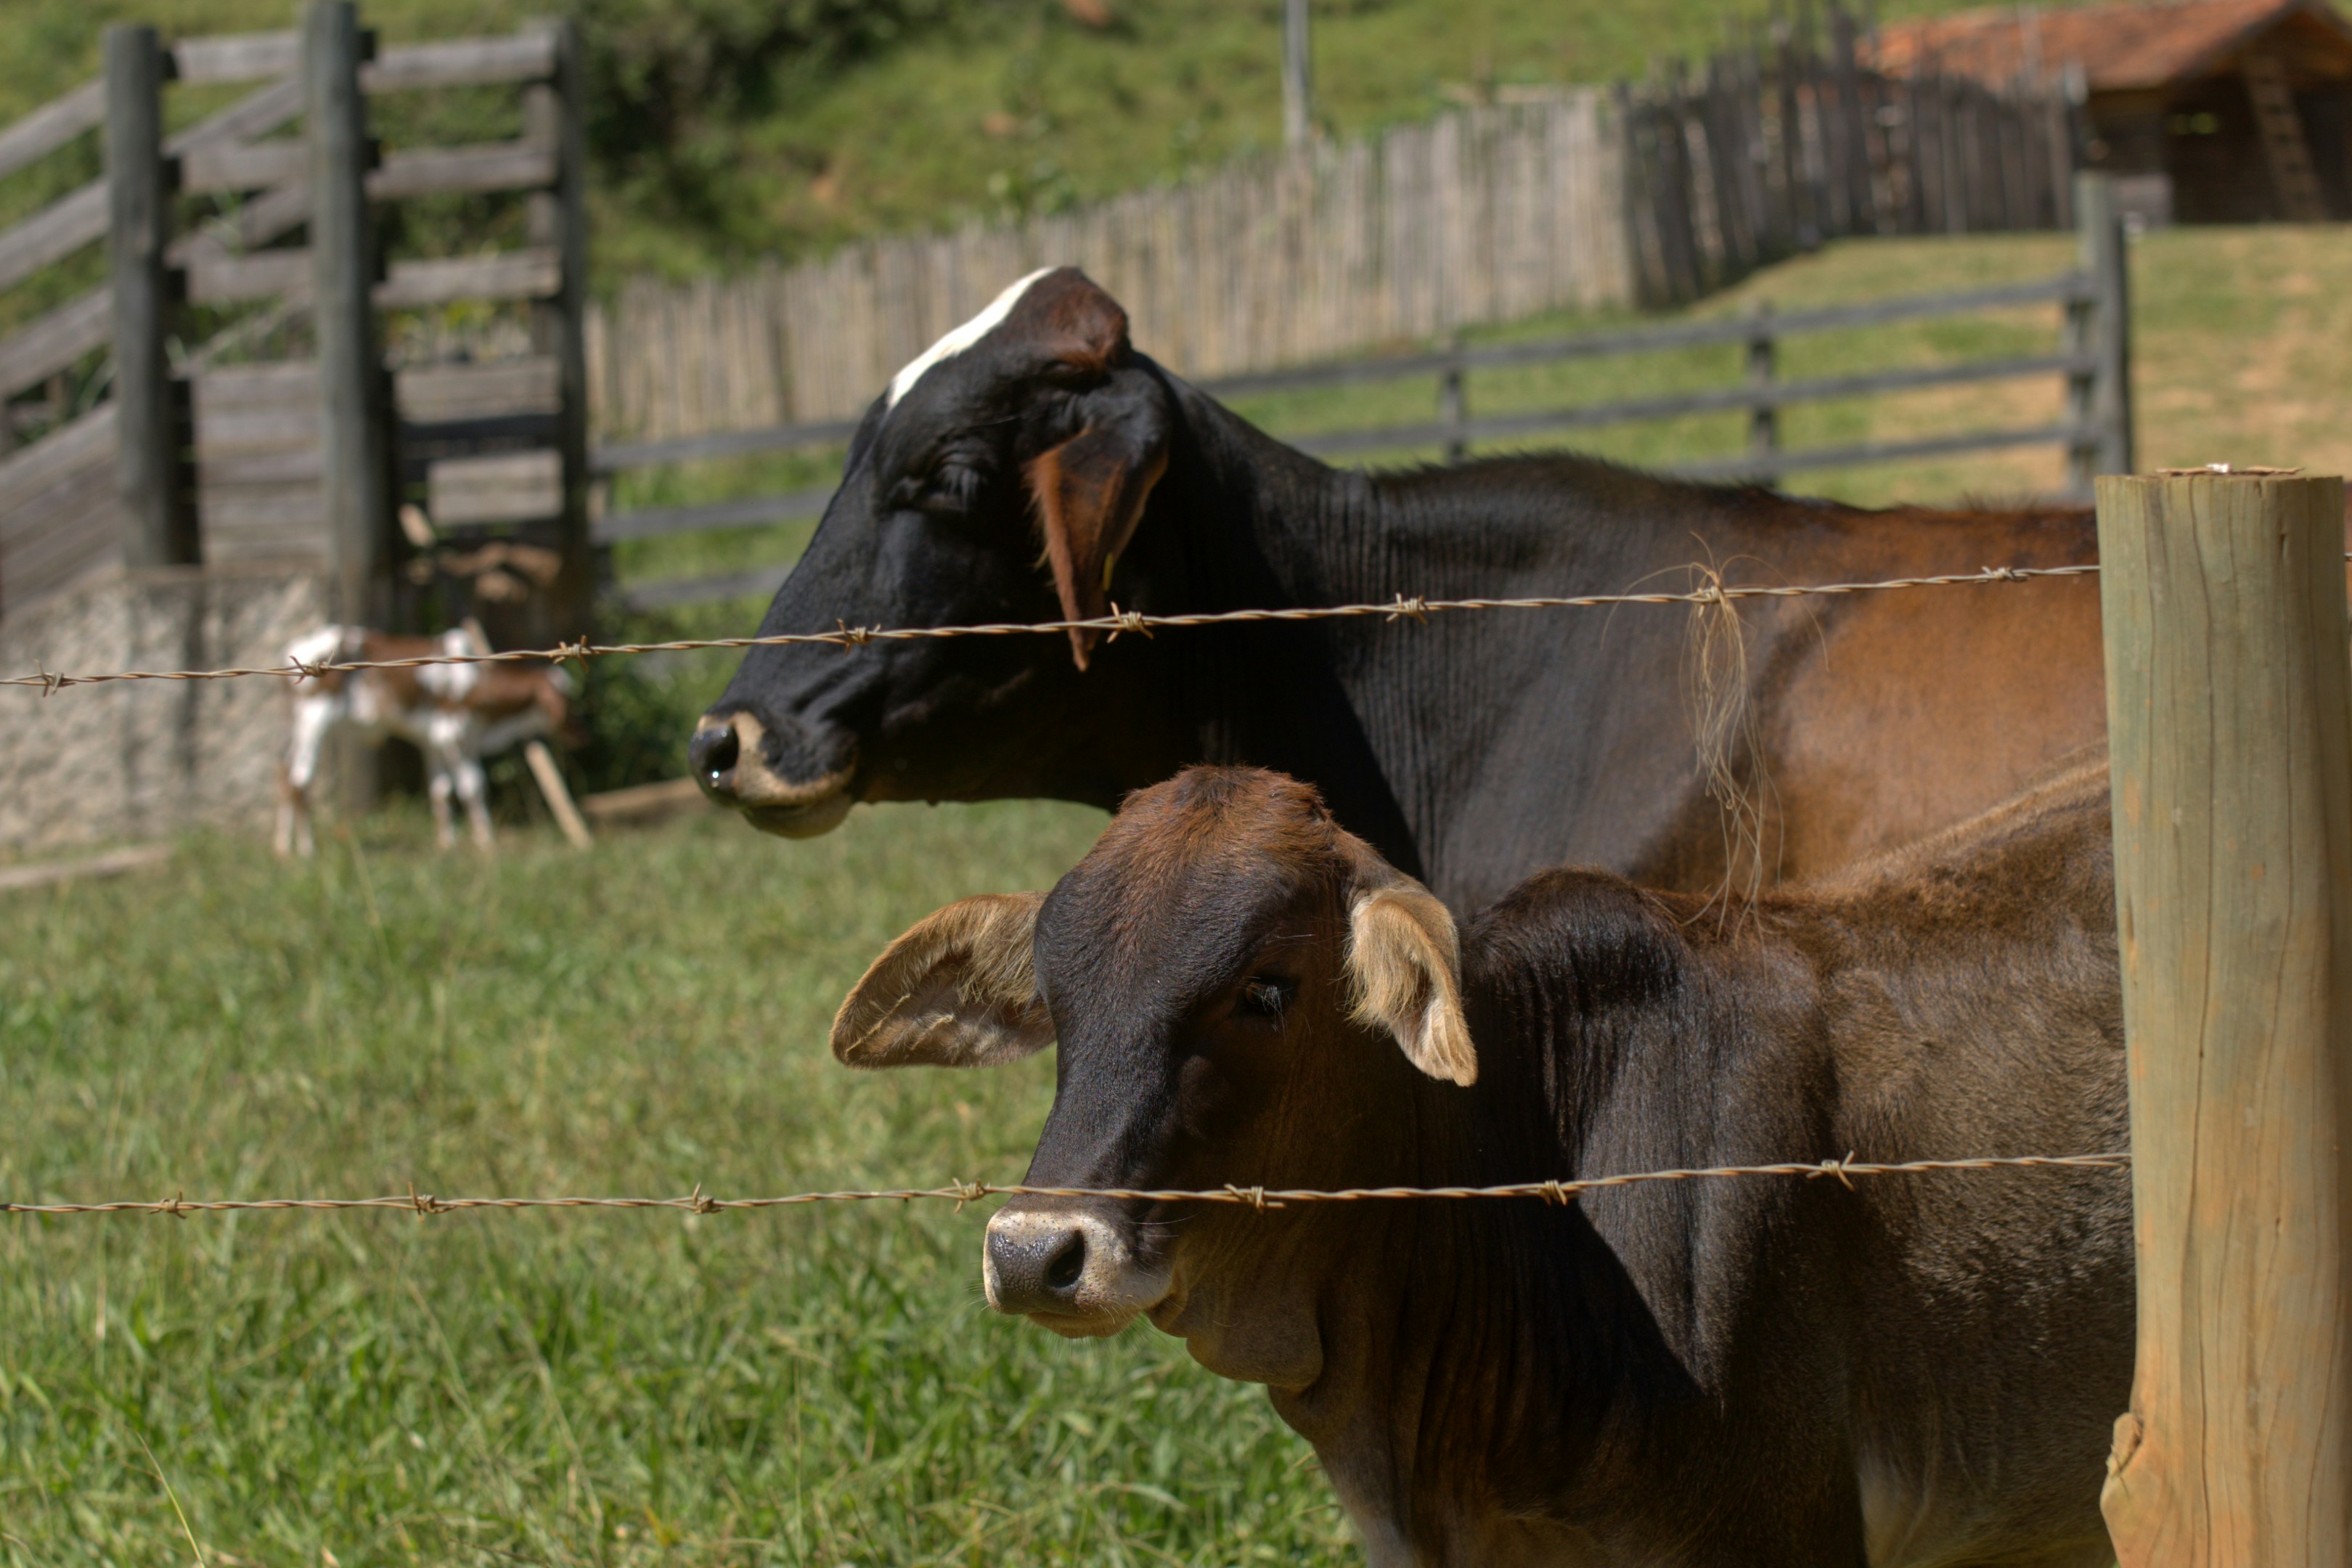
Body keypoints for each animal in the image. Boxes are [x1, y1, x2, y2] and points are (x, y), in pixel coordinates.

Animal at [274, 626, 573, 856]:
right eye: (564, 698)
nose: (578, 732)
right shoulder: (453, 732)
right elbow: (472, 786)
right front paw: (486, 844)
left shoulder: (436, 740)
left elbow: (441, 790)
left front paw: (447, 845)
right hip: (315, 718)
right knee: (300, 778)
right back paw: (306, 850)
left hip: (298, 724)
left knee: (285, 773)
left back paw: (282, 849)